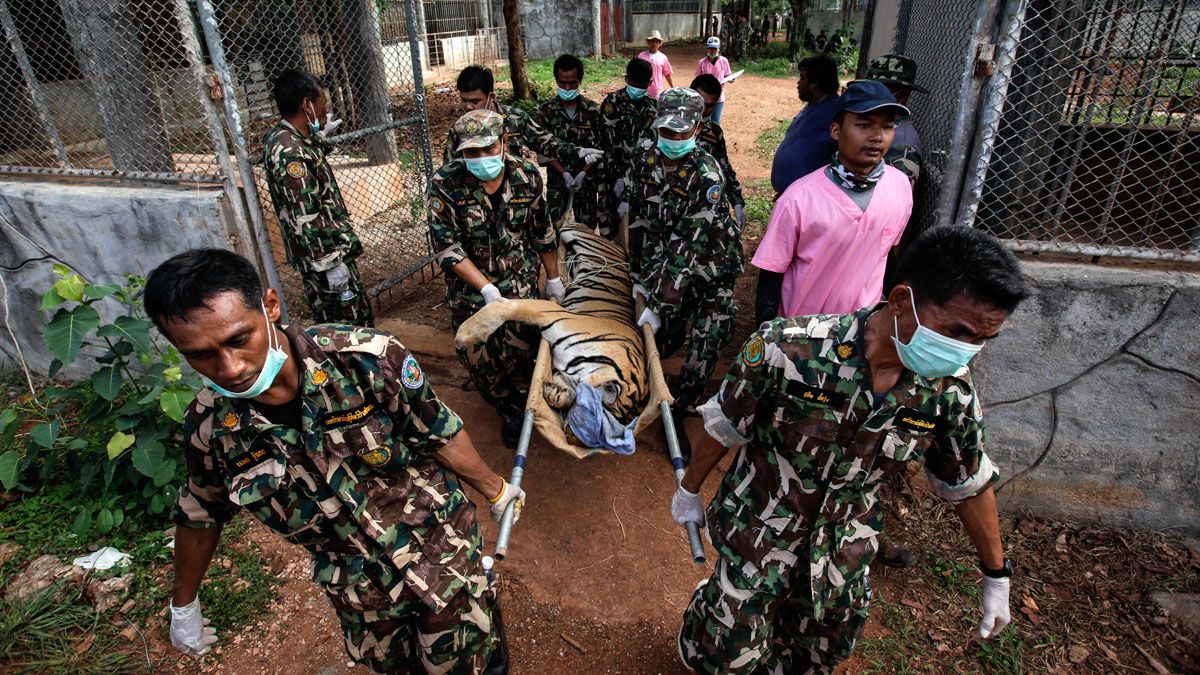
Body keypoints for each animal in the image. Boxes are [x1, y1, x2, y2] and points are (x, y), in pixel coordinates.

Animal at [453, 225, 652, 425]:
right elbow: (509, 307)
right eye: (590, 413)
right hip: (574, 233)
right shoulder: (553, 313)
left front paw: (555, 393)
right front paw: (466, 333)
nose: (570, 427)